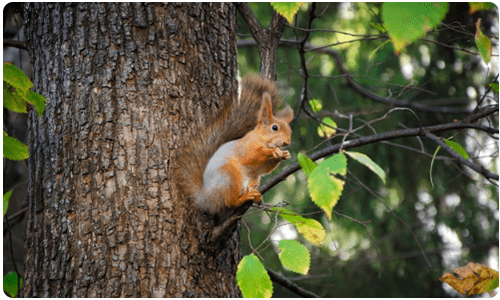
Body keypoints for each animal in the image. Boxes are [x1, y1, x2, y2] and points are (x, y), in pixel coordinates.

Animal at [175, 75, 292, 216]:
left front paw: (285, 154)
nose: (287, 142)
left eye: (290, 130)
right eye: (275, 127)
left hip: (253, 178)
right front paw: (273, 151)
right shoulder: (247, 146)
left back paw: (253, 194)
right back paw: (244, 198)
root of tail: (208, 198)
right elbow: (253, 156)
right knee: (230, 202)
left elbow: (266, 168)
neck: (263, 140)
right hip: (230, 174)